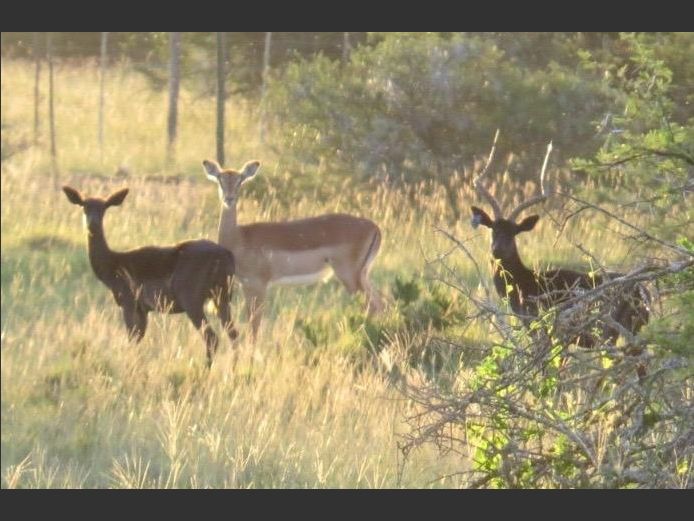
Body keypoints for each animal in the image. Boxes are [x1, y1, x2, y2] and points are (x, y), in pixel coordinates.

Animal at [63, 185, 237, 366]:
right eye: (84, 207)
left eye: (103, 208)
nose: (92, 224)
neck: (112, 269)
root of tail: (227, 256)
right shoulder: (143, 308)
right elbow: (138, 338)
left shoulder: (128, 299)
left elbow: (132, 337)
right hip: (223, 296)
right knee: (233, 333)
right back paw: (234, 367)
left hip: (191, 295)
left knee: (212, 336)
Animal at [202, 159, 383, 340]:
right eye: (220, 179)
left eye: (240, 180)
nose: (229, 198)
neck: (239, 237)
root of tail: (374, 227)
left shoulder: (256, 285)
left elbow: (254, 326)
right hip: (363, 275)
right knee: (381, 304)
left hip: (349, 277)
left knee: (372, 307)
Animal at [469, 139, 649, 375]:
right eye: (493, 229)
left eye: (514, 232)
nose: (497, 250)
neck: (526, 284)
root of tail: (644, 293)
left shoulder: (545, 329)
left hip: (612, 331)